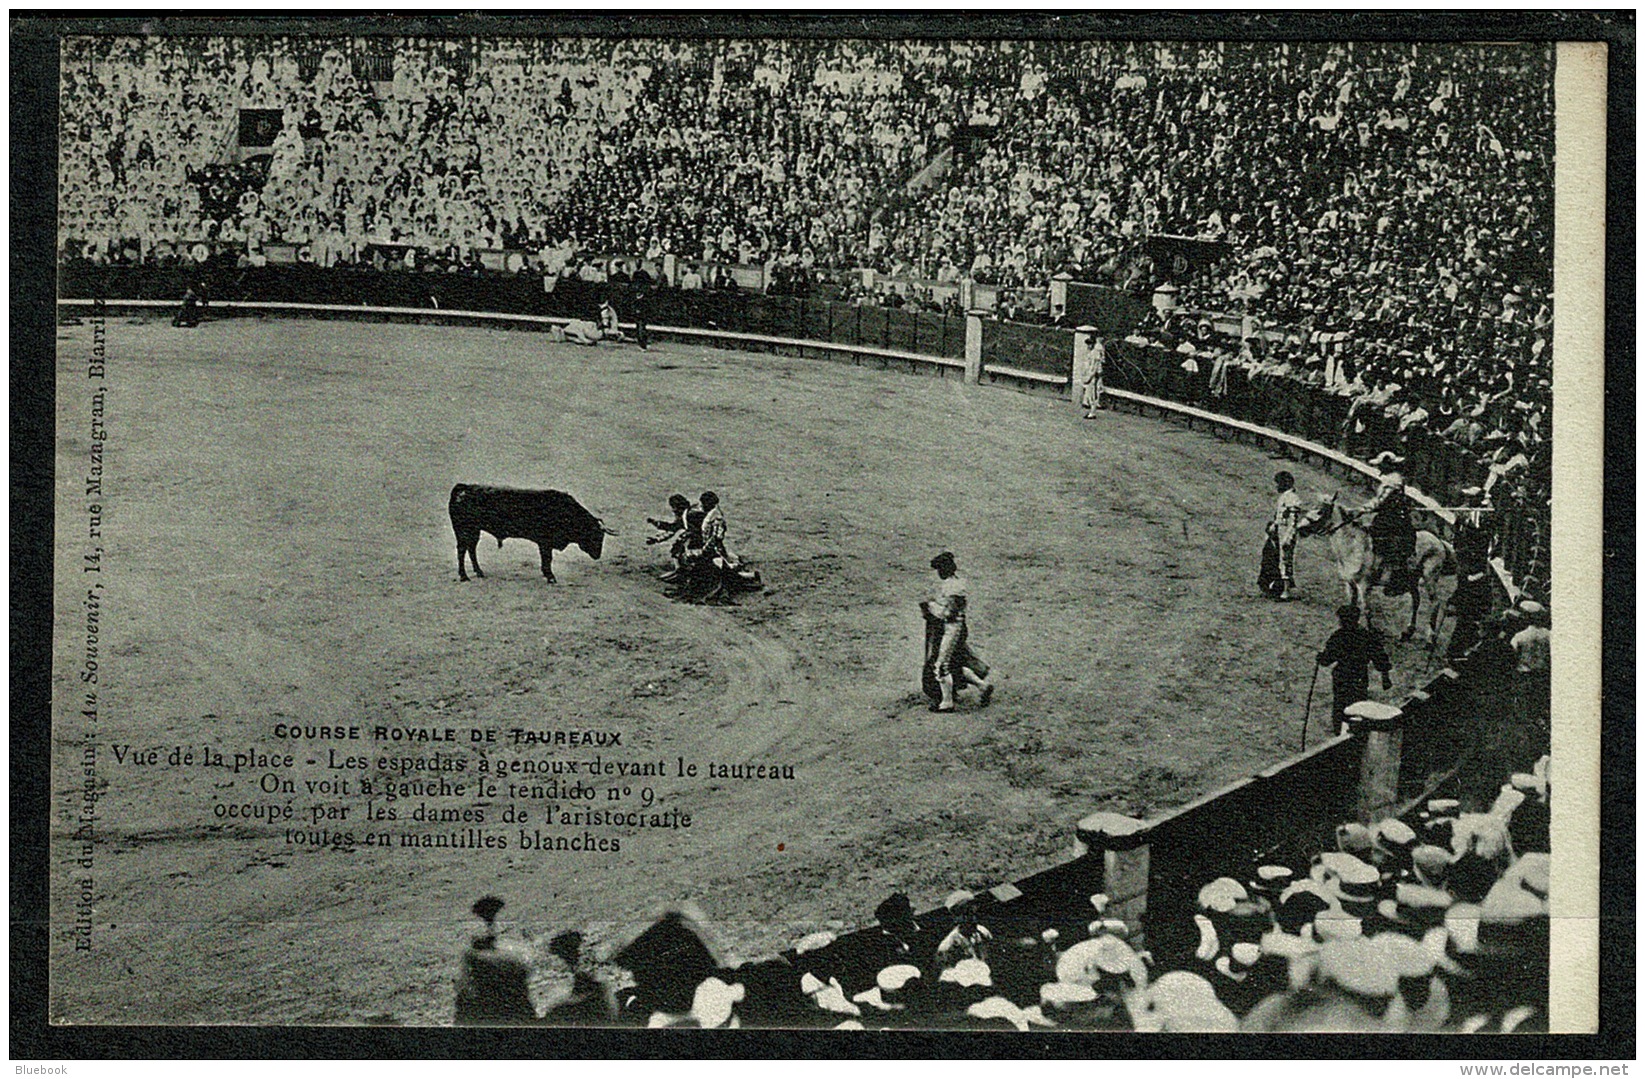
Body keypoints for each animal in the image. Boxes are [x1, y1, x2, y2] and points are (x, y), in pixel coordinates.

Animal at [447, 483, 615, 582]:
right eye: (596, 536)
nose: (597, 555)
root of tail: (463, 488)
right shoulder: (545, 543)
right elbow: (547, 559)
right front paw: (550, 577)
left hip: (474, 531)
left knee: (471, 549)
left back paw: (479, 572)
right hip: (464, 530)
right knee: (462, 550)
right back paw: (464, 576)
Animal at [1296, 490, 1454, 641]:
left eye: (1320, 511)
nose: (1300, 528)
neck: (1355, 547)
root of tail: (1440, 542)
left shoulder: (1364, 586)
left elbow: (1367, 610)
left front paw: (1371, 631)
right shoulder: (1350, 584)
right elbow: (1351, 606)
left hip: (1429, 579)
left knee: (1435, 603)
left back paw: (1430, 637)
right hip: (1412, 580)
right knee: (1416, 601)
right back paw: (1408, 632)